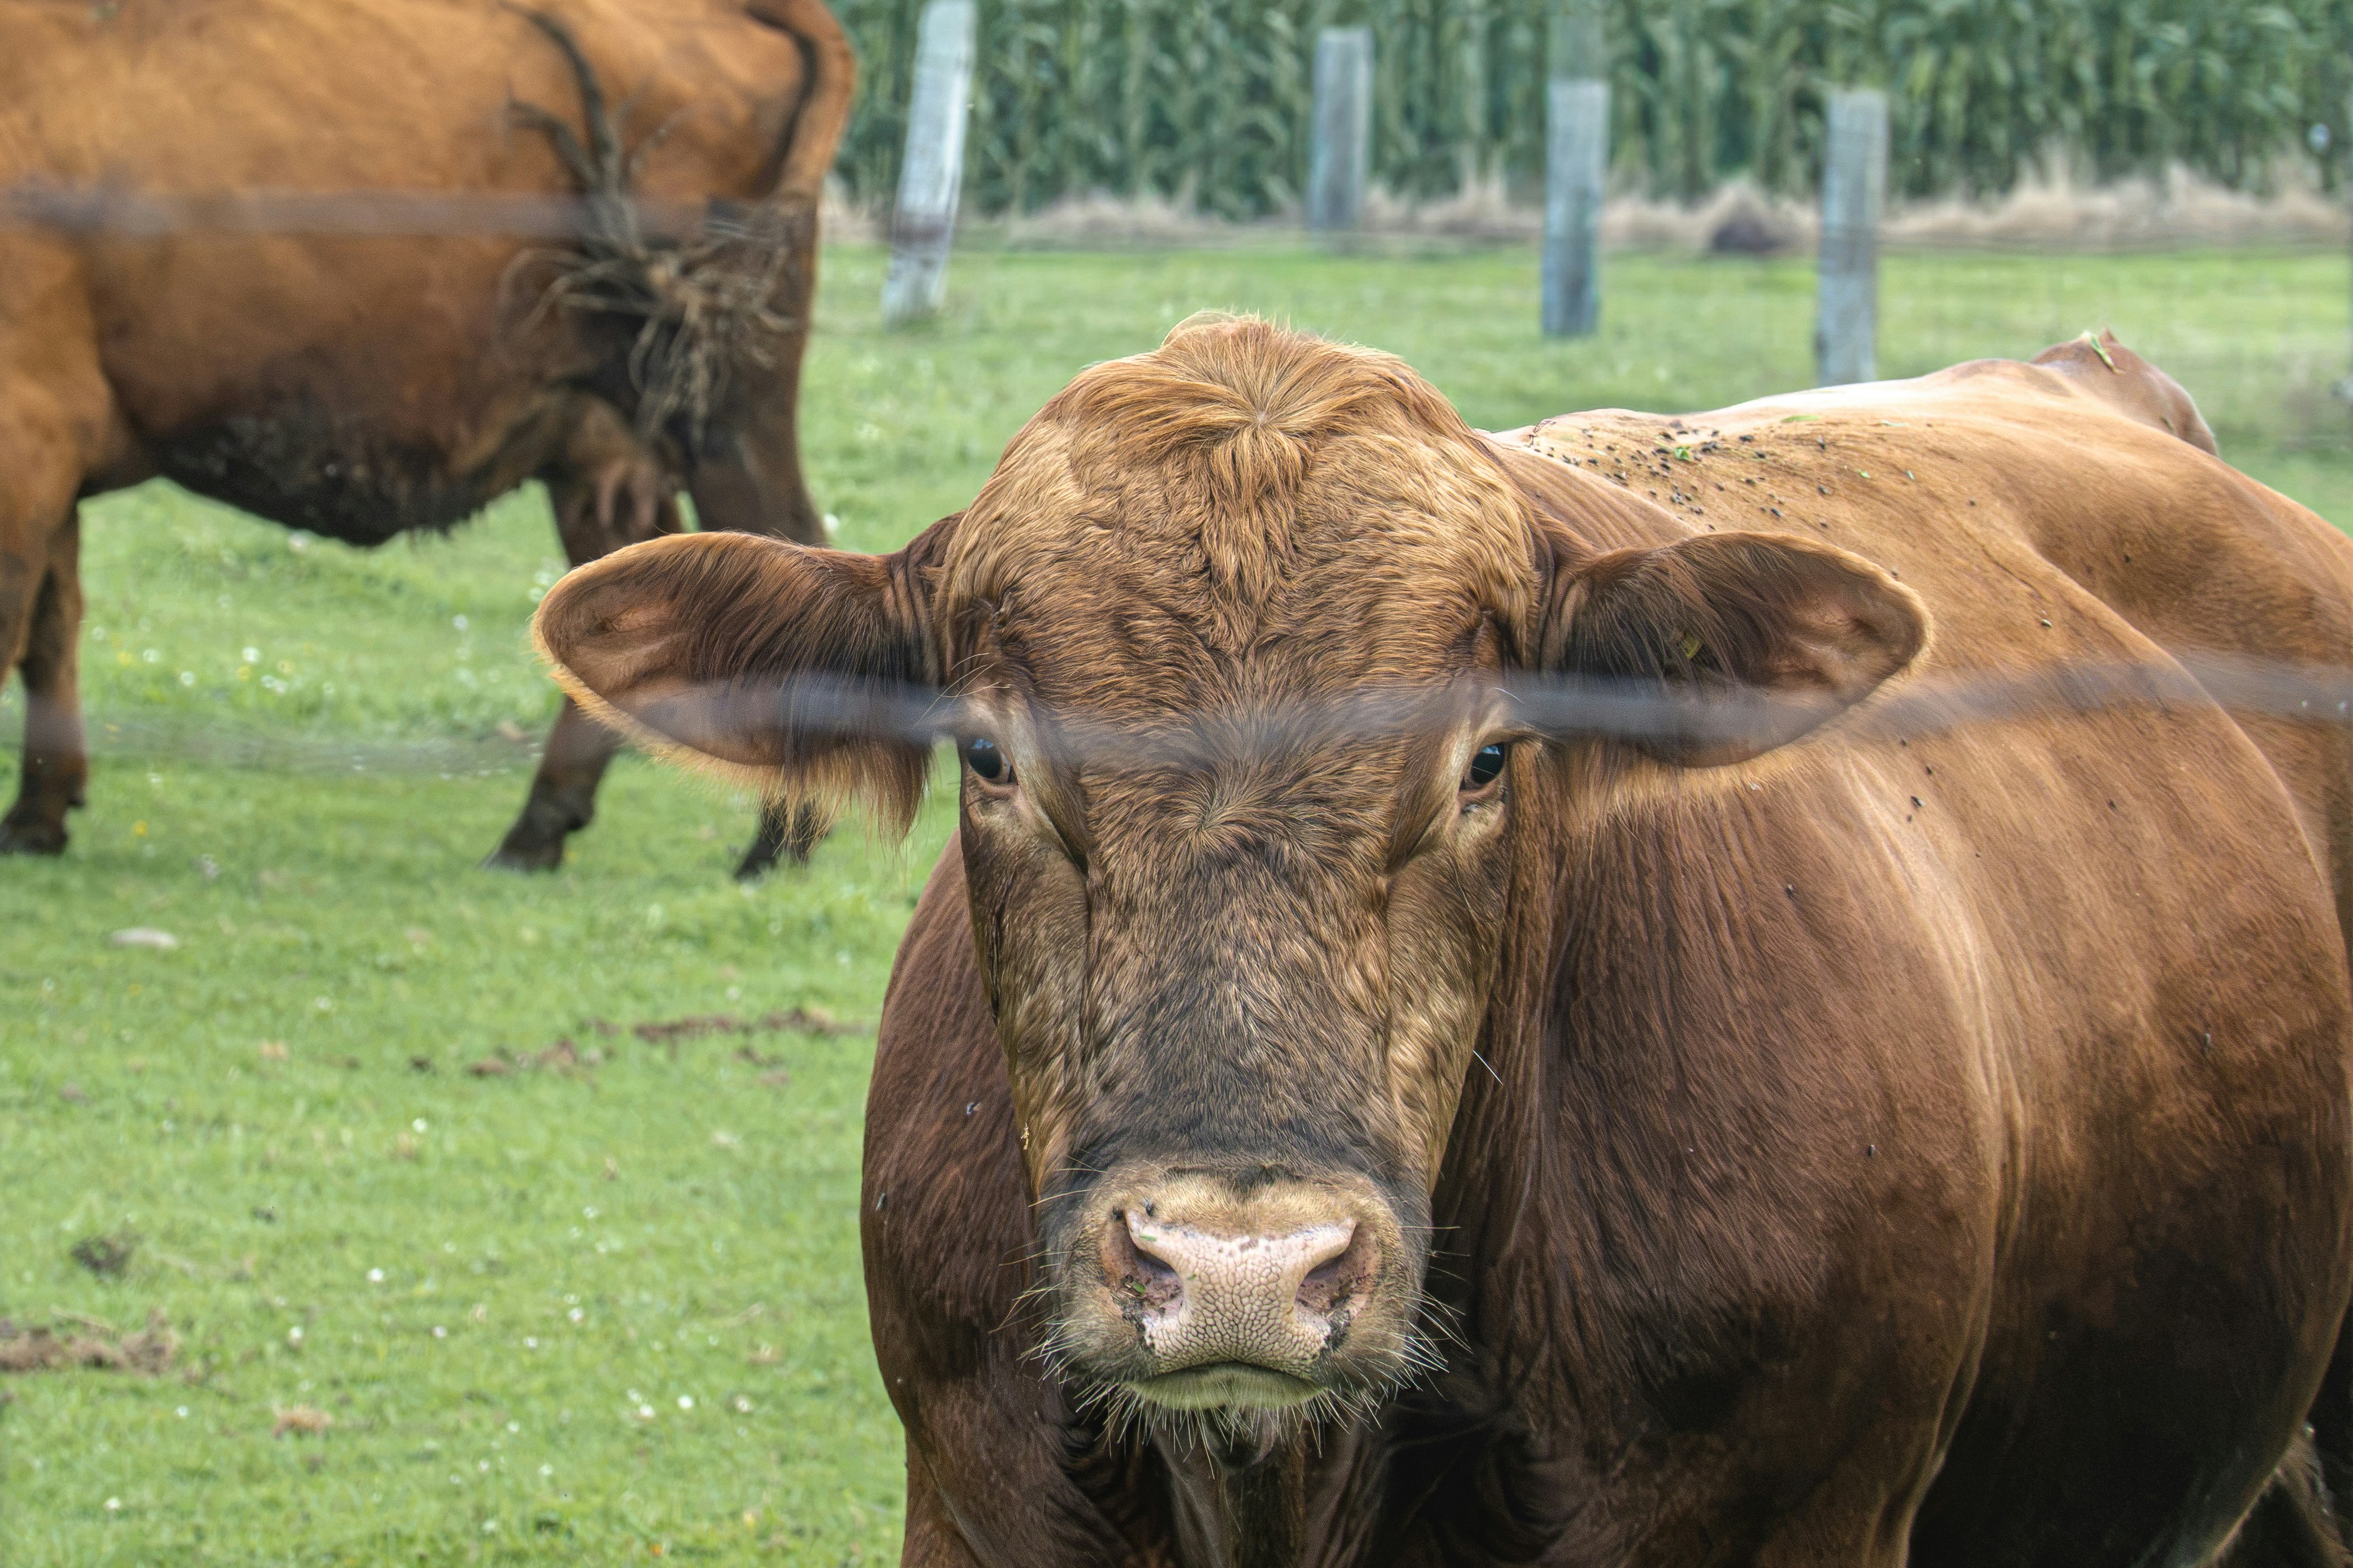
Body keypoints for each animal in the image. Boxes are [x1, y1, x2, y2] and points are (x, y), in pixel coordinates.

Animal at [0, 0, 850, 874]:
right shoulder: (50, 460)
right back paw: (539, 830)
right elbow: (49, 630)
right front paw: (37, 816)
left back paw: (771, 850)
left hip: (726, 423)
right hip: (601, 448)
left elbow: (18, 624)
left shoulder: (26, 436)